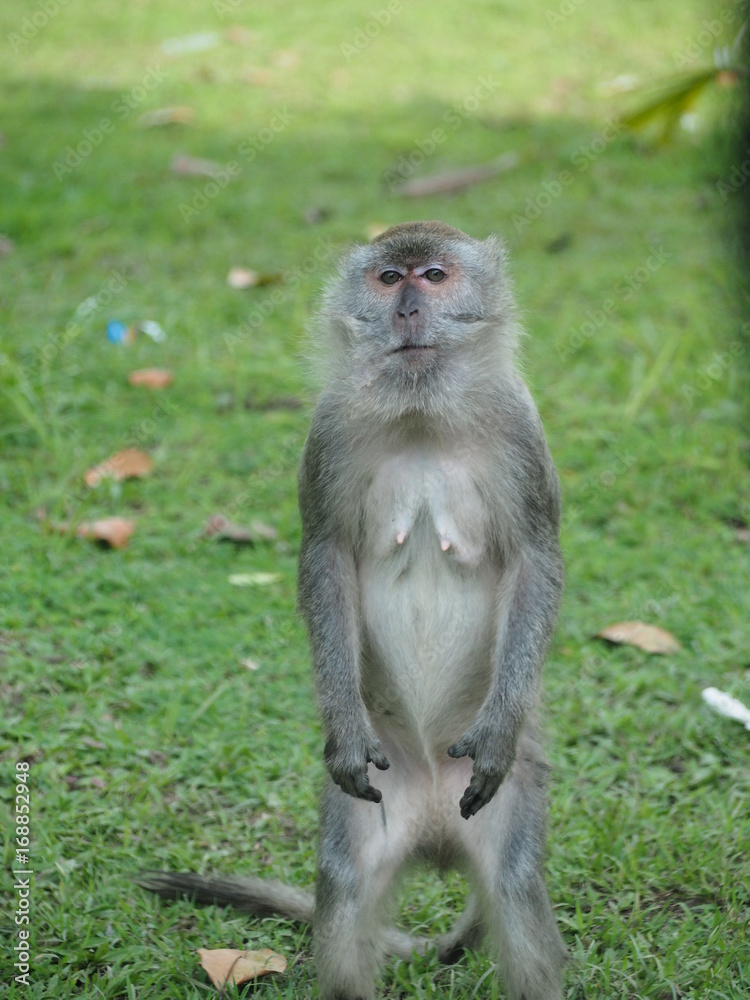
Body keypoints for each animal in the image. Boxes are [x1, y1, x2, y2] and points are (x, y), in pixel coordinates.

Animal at [141, 223, 568, 996]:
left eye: (435, 276)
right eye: (388, 278)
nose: (407, 310)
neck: (422, 415)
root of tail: (435, 830)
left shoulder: (522, 430)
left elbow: (536, 559)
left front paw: (497, 732)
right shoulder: (329, 432)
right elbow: (326, 557)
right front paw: (340, 725)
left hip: (503, 805)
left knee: (515, 887)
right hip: (375, 803)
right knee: (344, 888)